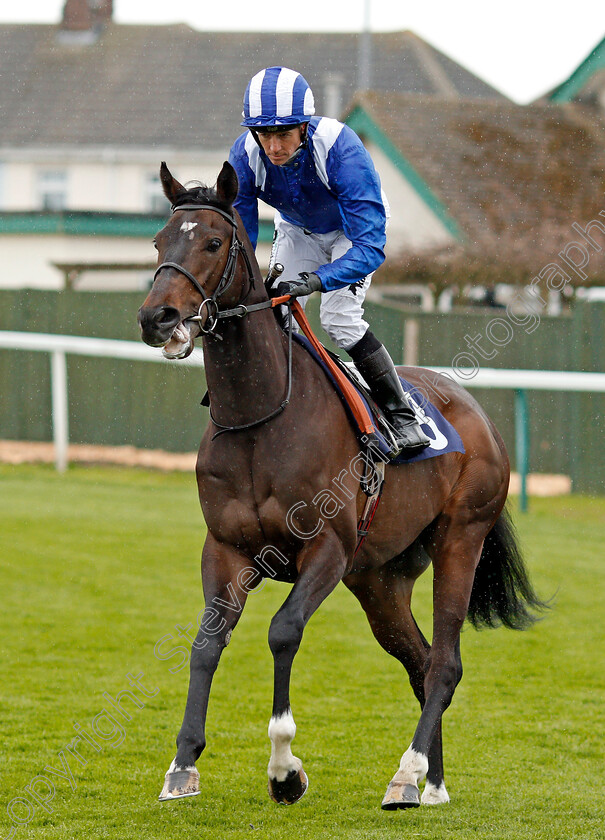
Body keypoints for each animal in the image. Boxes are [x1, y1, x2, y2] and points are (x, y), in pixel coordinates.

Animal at [137, 161, 544, 812]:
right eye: (158, 241)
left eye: (214, 242)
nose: (158, 319)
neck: (261, 416)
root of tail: (478, 414)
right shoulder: (225, 549)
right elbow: (206, 642)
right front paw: (182, 766)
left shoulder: (325, 548)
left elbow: (283, 631)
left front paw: (284, 769)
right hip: (379, 580)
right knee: (421, 661)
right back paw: (429, 781)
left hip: (460, 539)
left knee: (446, 664)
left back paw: (407, 774)